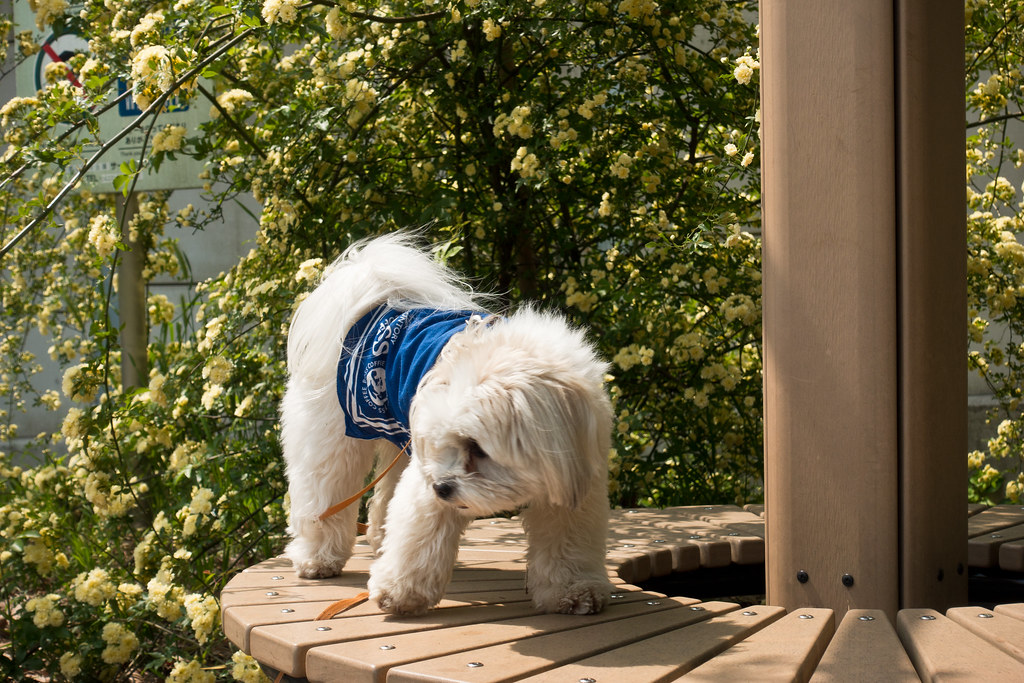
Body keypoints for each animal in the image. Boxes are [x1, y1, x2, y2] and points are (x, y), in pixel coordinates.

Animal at [280, 232, 610, 618]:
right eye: (449, 443)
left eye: (478, 447)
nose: (443, 488)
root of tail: (372, 303)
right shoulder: (427, 473)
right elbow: (418, 536)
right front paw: (398, 592)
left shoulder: (576, 482)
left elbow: (566, 544)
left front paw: (573, 591)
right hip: (333, 440)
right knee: (323, 495)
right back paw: (317, 559)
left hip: (399, 440)